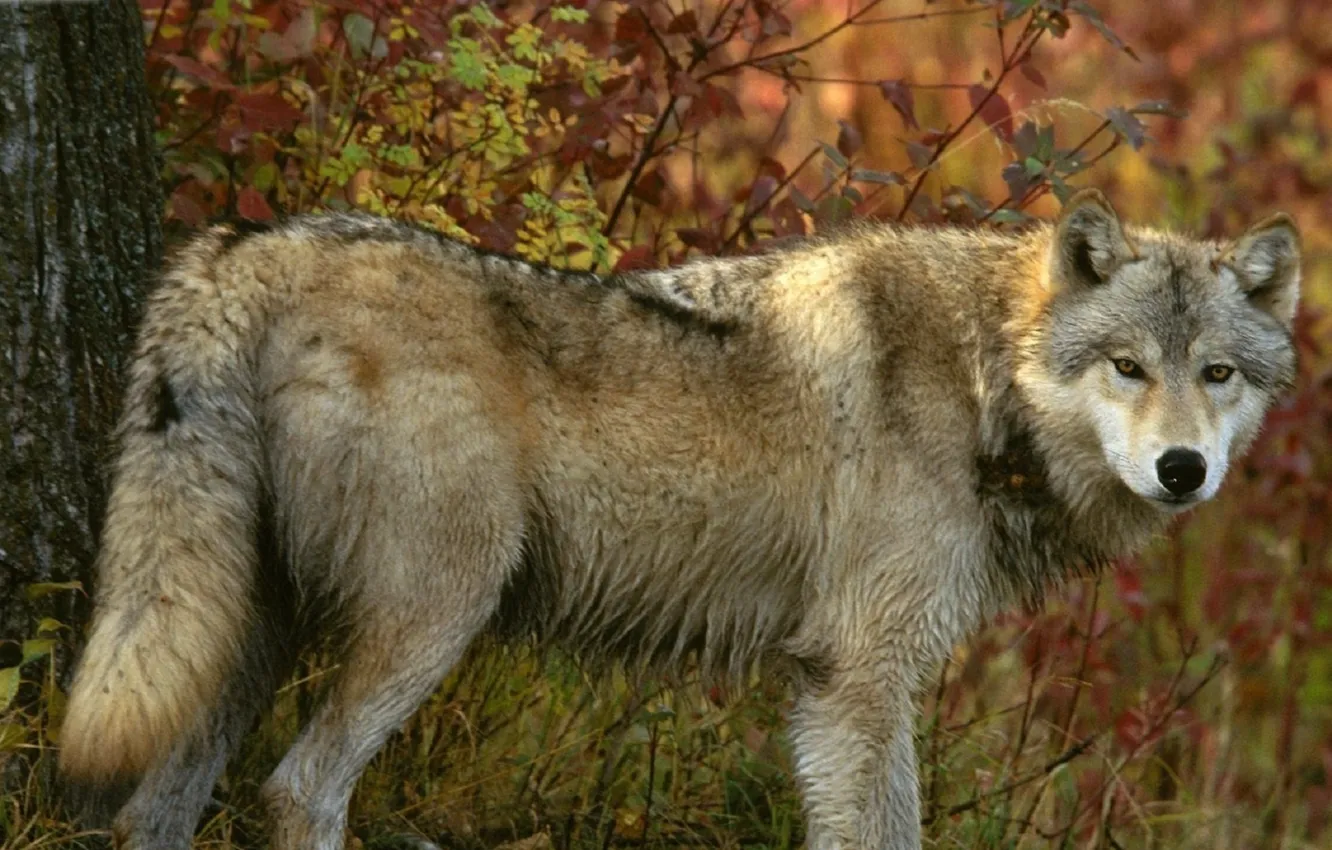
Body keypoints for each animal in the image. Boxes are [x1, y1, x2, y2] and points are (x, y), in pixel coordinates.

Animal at [59, 190, 1300, 850]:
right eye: (1128, 366)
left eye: (1219, 374)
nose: (1183, 468)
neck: (983, 378)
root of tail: (248, 245)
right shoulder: (856, 674)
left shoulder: (858, 680)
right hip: (430, 619)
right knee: (299, 788)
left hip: (243, 635)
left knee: (153, 810)